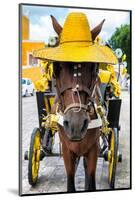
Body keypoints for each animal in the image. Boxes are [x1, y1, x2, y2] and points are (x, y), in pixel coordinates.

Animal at [50, 14, 104, 191]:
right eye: (57, 66)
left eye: (93, 67)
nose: (76, 124)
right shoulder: (67, 151)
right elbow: (70, 181)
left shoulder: (93, 149)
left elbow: (91, 179)